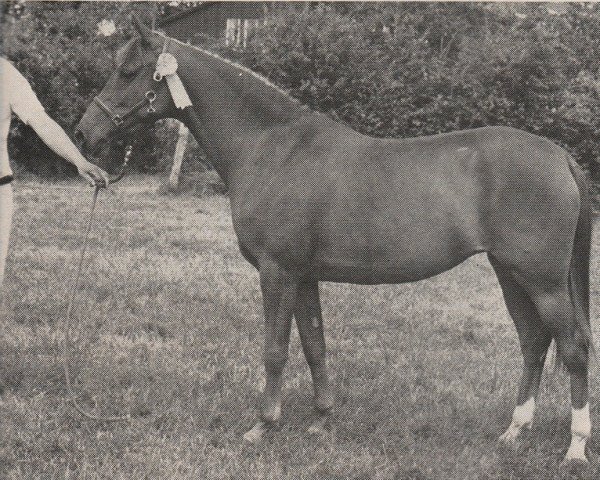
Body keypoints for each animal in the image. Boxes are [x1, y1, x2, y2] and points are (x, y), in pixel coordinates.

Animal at [76, 18, 596, 464]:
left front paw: (263, 425)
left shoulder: (278, 272)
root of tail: (559, 156)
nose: (83, 133)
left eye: (128, 70)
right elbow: (315, 345)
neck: (272, 148)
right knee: (534, 342)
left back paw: (575, 447)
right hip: (510, 274)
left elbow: (275, 349)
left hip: (544, 281)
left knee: (572, 347)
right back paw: (514, 431)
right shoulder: (303, 276)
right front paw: (322, 419)